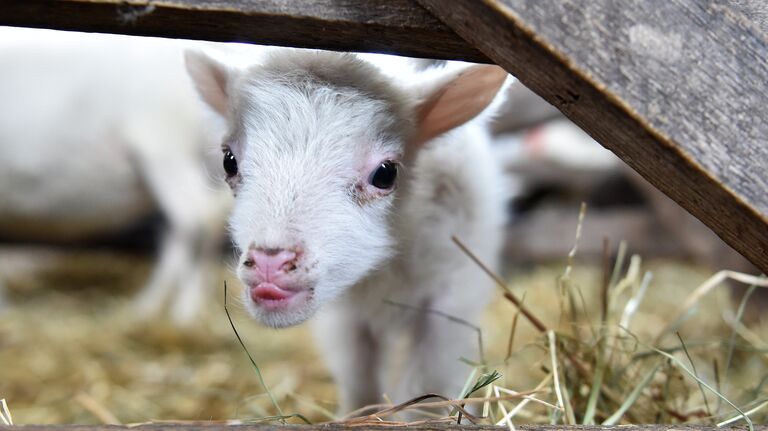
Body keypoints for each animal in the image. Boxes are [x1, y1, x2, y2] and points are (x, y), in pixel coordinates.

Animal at [186, 49, 510, 414]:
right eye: (229, 161)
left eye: (385, 173)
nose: (270, 264)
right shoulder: (345, 319)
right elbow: (359, 378)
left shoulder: (449, 301)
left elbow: (429, 382)